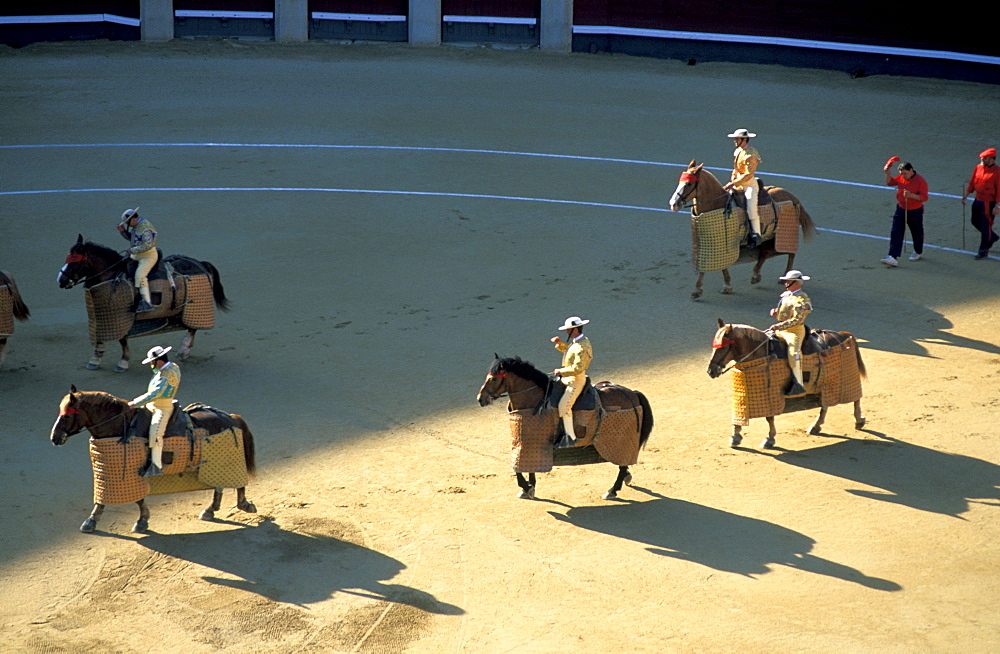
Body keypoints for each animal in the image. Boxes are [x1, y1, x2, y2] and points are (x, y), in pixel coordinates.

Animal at [49, 386, 258, 536]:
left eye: (67, 415)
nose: (54, 437)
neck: (121, 425)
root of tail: (230, 417)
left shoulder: (129, 474)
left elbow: (130, 499)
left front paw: (138, 521)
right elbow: (107, 499)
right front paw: (92, 521)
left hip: (227, 459)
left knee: (238, 482)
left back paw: (244, 505)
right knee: (219, 485)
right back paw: (210, 510)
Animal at [58, 236, 230, 372]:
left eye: (75, 262)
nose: (61, 280)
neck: (111, 274)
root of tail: (200, 263)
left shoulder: (120, 318)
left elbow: (122, 339)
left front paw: (123, 362)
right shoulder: (101, 316)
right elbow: (100, 336)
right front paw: (95, 359)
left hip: (193, 308)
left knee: (192, 328)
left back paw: (183, 349)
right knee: (190, 327)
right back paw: (186, 351)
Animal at [478, 356, 656, 500]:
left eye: (493, 380)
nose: (480, 398)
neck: (534, 398)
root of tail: (632, 393)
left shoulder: (528, 444)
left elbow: (518, 467)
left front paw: (527, 488)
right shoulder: (527, 443)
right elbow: (527, 466)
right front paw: (529, 487)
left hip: (620, 442)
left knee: (622, 464)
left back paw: (612, 490)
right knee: (623, 464)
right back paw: (625, 478)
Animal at [668, 161, 816, 300]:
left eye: (688, 184)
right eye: (680, 181)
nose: (673, 204)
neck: (717, 204)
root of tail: (793, 197)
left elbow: (706, 267)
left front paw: (698, 290)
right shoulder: (711, 245)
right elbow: (717, 265)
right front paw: (725, 286)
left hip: (785, 233)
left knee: (790, 253)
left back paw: (785, 277)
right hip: (768, 237)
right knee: (765, 253)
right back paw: (755, 276)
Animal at [708, 320, 864, 452]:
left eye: (723, 347)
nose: (710, 371)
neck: (759, 352)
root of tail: (844, 334)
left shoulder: (772, 395)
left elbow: (769, 417)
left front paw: (769, 439)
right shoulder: (743, 394)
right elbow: (739, 415)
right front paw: (735, 437)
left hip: (848, 376)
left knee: (855, 398)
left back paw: (859, 421)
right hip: (825, 385)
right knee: (825, 404)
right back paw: (815, 426)